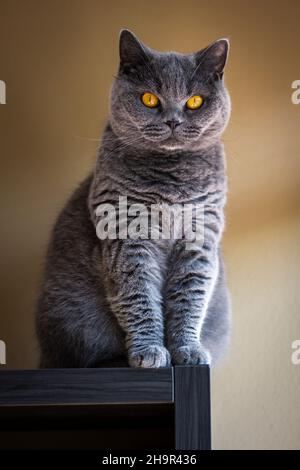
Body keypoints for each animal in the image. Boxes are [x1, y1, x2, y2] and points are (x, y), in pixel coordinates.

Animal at [36, 29, 231, 370]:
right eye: (149, 99)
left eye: (194, 101)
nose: (173, 120)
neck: (170, 181)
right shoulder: (126, 235)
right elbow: (137, 296)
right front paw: (149, 352)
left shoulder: (200, 236)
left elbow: (190, 296)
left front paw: (188, 351)